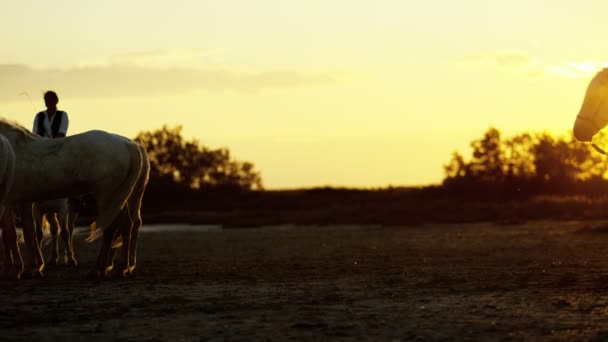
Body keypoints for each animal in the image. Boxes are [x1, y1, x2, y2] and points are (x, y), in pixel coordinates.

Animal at [0, 119, 148, 276]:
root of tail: (128, 145)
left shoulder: (9, 202)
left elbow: (10, 234)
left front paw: (16, 268)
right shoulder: (24, 203)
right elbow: (28, 233)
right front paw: (33, 266)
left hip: (108, 198)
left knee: (111, 229)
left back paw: (102, 267)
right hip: (118, 199)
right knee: (126, 225)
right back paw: (120, 267)